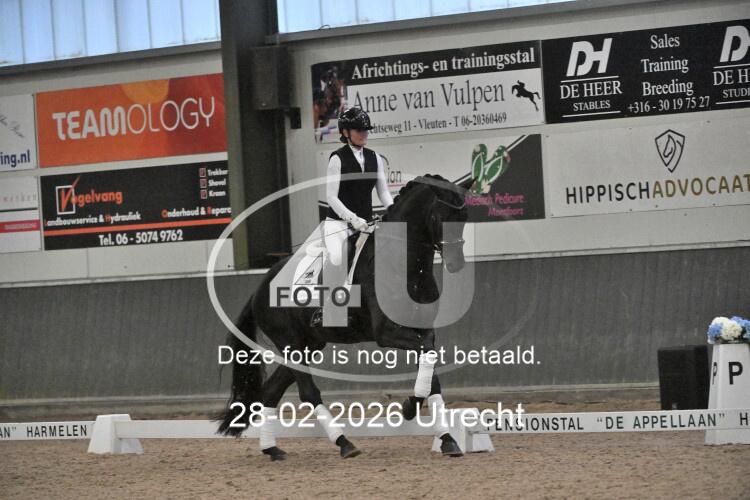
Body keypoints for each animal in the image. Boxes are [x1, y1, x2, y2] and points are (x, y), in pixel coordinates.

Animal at [216, 175, 471, 460]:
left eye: (464, 218)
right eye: (439, 218)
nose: (456, 264)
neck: (407, 266)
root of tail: (260, 287)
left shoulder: (424, 330)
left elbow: (431, 376)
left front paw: (446, 438)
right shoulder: (387, 333)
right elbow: (427, 363)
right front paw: (409, 408)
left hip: (306, 346)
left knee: (271, 391)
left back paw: (272, 449)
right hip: (291, 344)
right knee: (308, 393)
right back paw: (344, 443)